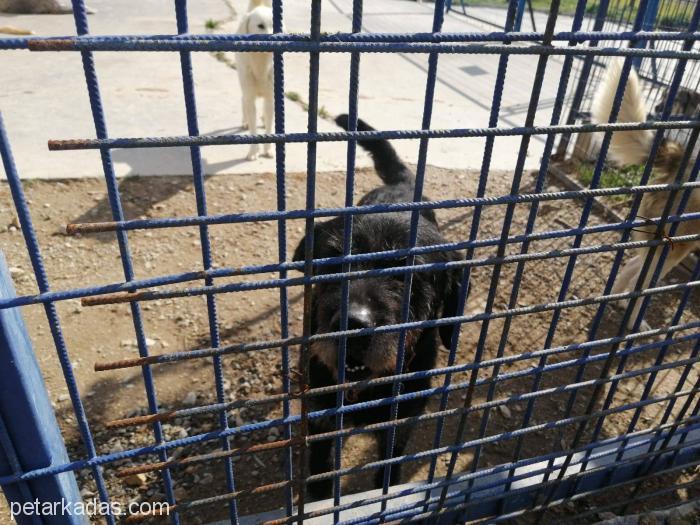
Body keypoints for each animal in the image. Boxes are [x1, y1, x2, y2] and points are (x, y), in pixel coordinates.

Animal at [292, 114, 468, 500]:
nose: (354, 325)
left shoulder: (399, 426)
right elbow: (320, 468)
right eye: (332, 261)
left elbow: (390, 465)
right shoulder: (322, 420)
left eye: (410, 272)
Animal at [592, 59, 700, 330]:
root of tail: (681, 162)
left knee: (631, 268)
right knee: (640, 282)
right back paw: (634, 323)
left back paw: (616, 301)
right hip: (674, 248)